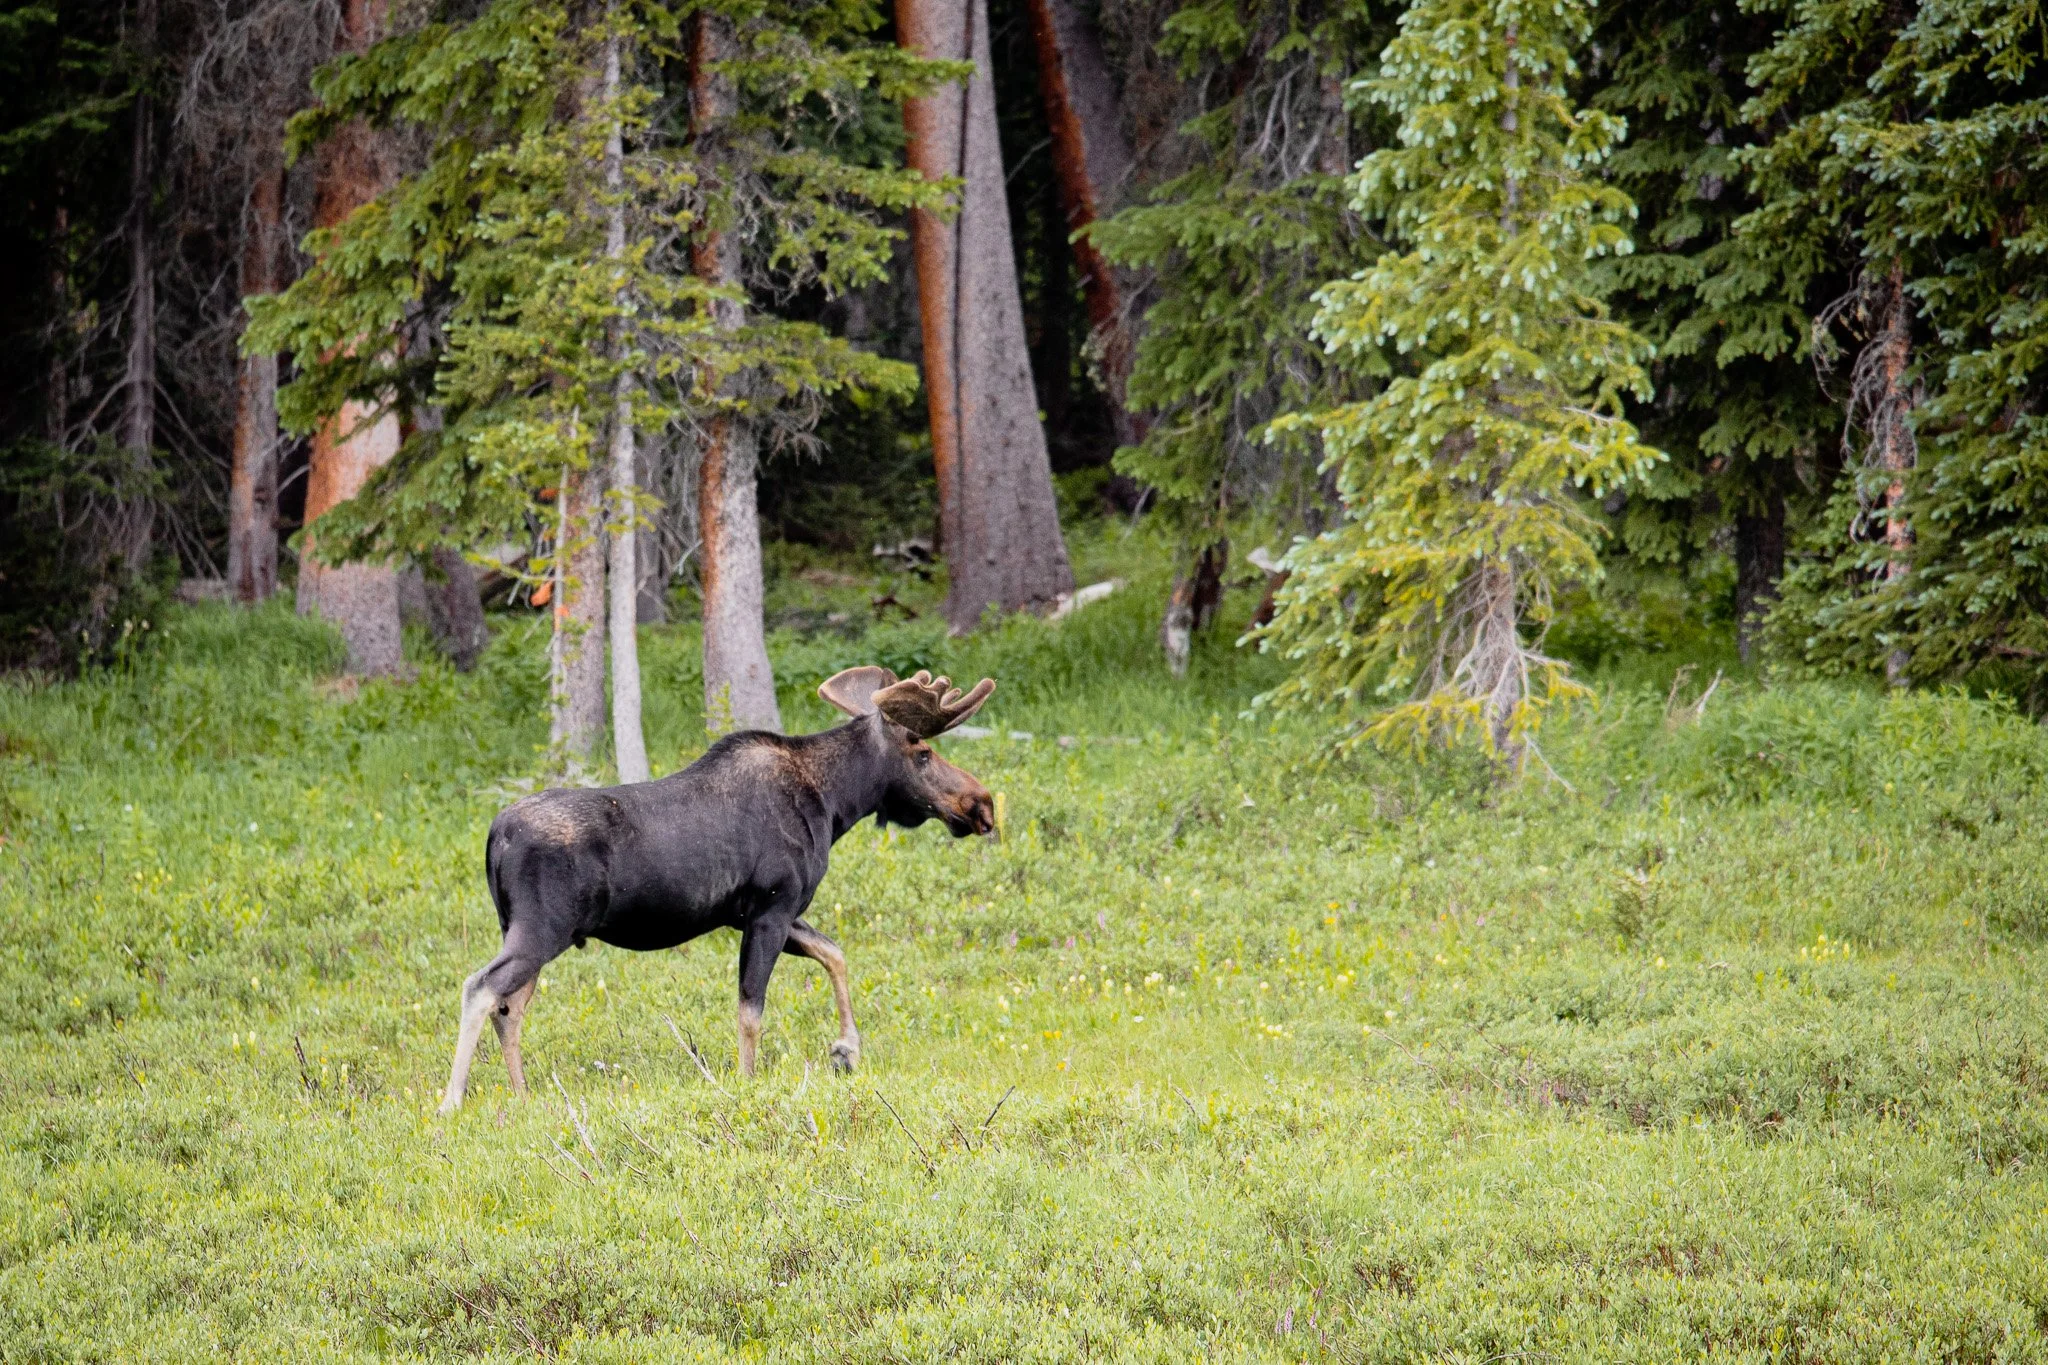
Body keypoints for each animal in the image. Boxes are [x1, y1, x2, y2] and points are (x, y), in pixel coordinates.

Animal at [439, 667, 996, 1114]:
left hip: (521, 928)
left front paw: (846, 1050)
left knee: (509, 1007)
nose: (982, 804)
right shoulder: (772, 908)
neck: (836, 805)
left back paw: (522, 1096)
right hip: (542, 928)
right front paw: (748, 1083)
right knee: (480, 987)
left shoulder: (759, 913)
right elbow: (751, 1010)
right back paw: (451, 1102)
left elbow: (834, 954)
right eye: (923, 751)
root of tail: (495, 835)